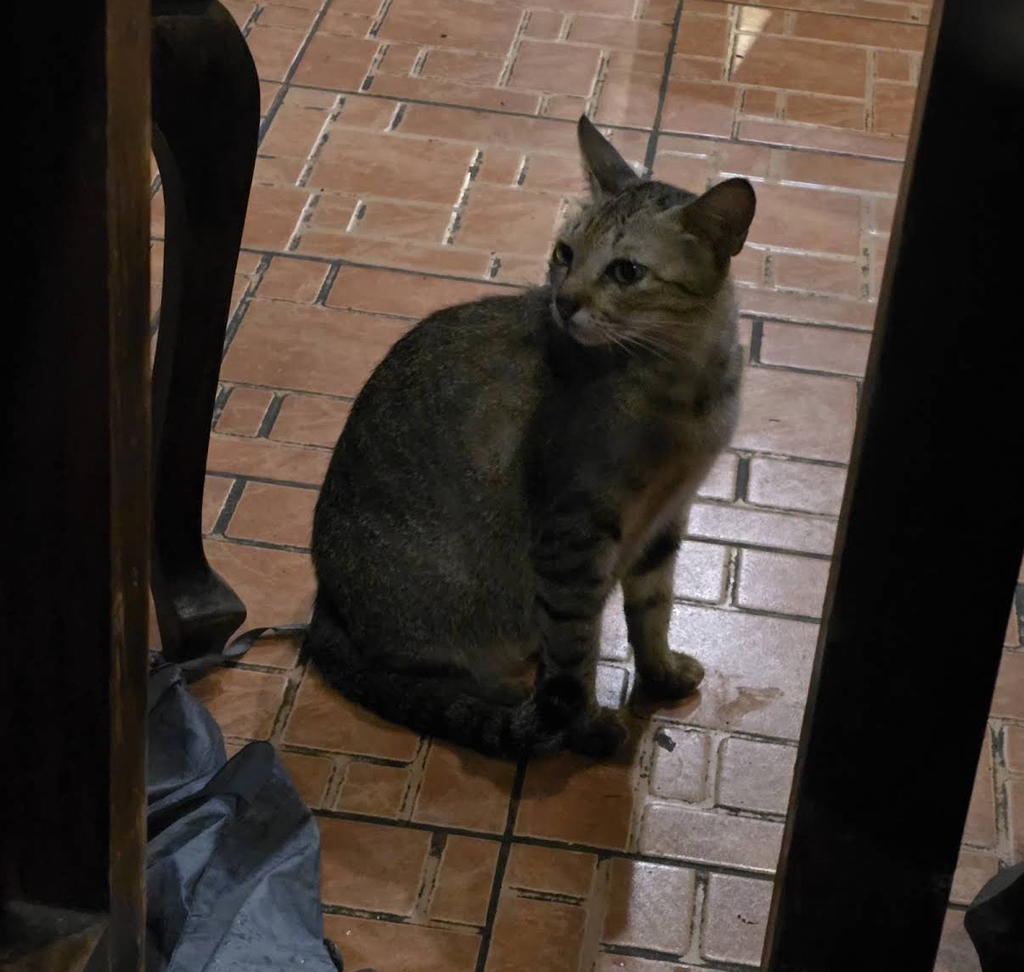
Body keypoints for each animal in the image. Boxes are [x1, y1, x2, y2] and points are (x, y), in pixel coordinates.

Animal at [305, 116, 755, 760]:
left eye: (626, 271)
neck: (685, 388)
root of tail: (325, 606)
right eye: (565, 253)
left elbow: (653, 610)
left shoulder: (666, 520)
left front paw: (662, 676)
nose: (563, 302)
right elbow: (575, 656)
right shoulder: (574, 541)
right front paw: (587, 728)